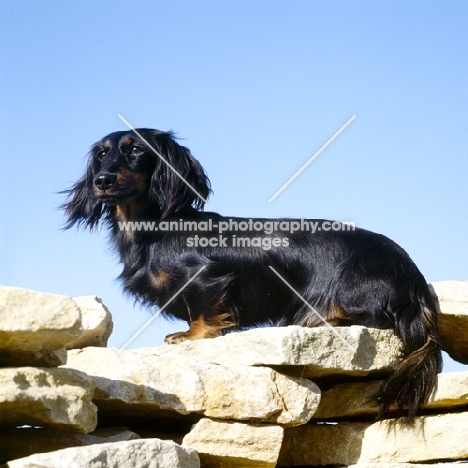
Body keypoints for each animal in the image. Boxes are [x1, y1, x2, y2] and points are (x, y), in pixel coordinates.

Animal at [63, 127, 442, 416]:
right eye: (102, 154)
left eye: (136, 150)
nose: (102, 181)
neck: (154, 229)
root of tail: (416, 282)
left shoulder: (203, 277)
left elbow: (203, 311)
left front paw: (192, 335)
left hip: (352, 293)